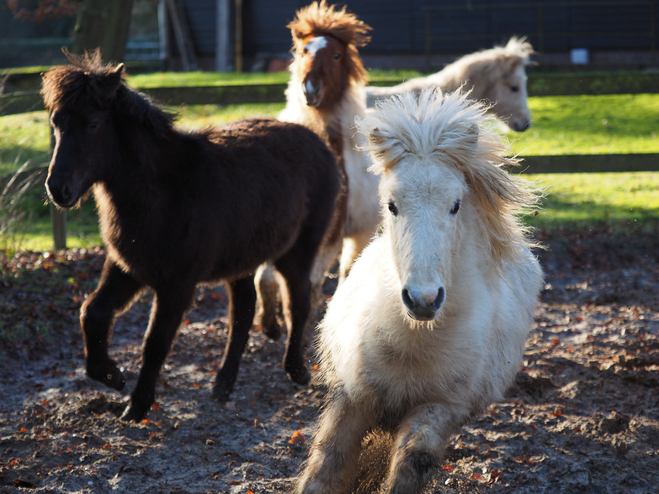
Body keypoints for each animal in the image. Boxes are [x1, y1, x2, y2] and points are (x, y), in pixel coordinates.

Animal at [41, 50, 340, 420]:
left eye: (94, 123)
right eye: (56, 122)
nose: (58, 189)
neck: (164, 190)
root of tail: (318, 142)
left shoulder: (176, 283)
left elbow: (155, 343)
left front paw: (137, 405)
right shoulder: (128, 267)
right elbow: (92, 313)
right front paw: (112, 376)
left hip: (298, 251)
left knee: (298, 302)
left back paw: (297, 370)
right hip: (242, 259)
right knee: (243, 313)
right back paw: (223, 385)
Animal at [296, 89, 544, 494]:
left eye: (456, 205)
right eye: (391, 205)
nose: (423, 299)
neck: (413, 345)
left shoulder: (440, 408)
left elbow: (412, 463)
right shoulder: (351, 398)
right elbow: (326, 462)